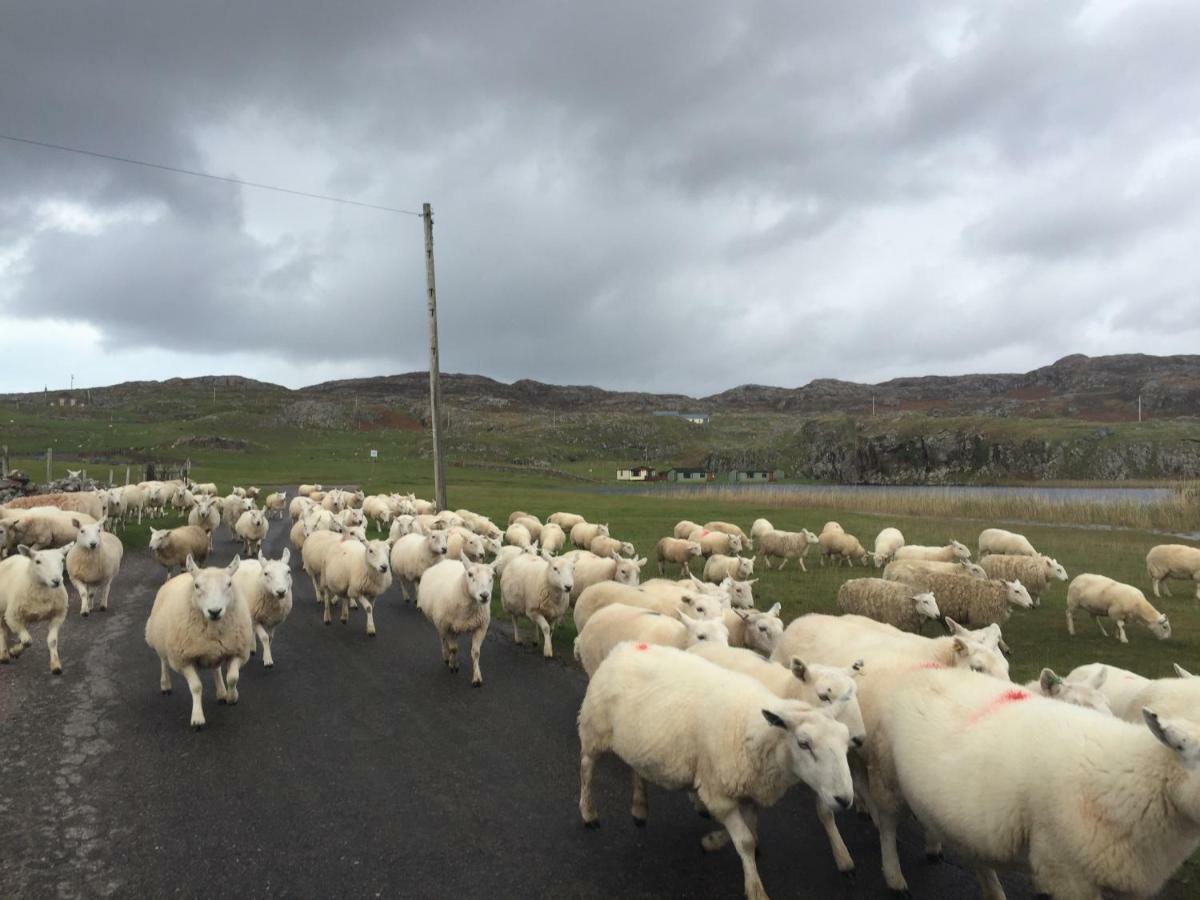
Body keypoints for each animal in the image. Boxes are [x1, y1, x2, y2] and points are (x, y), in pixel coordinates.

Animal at [0, 542, 73, 676]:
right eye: (38, 561)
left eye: (62, 559)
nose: (56, 581)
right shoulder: (12, 616)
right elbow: (27, 641)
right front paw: (14, 651)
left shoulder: (58, 615)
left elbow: (52, 641)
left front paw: (55, 666)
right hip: (2, 610)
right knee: (2, 630)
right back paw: (4, 655)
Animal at [143, 556, 250, 734]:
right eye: (197, 586)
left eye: (229, 584)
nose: (215, 611)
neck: (213, 628)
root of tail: (183, 574)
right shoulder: (183, 660)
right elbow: (196, 687)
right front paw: (198, 718)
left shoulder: (237, 650)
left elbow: (232, 677)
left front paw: (232, 697)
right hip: (160, 639)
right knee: (163, 661)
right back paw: (165, 685)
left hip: (214, 650)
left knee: (216, 669)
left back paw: (221, 693)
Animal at [578, 643, 854, 900]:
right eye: (804, 743)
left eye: (846, 742)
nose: (844, 799)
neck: (753, 730)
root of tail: (625, 647)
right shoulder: (719, 793)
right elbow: (745, 840)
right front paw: (755, 889)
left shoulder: (752, 791)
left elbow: (750, 833)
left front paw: (713, 842)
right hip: (595, 728)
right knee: (586, 767)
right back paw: (589, 813)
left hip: (637, 738)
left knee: (636, 769)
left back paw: (639, 808)